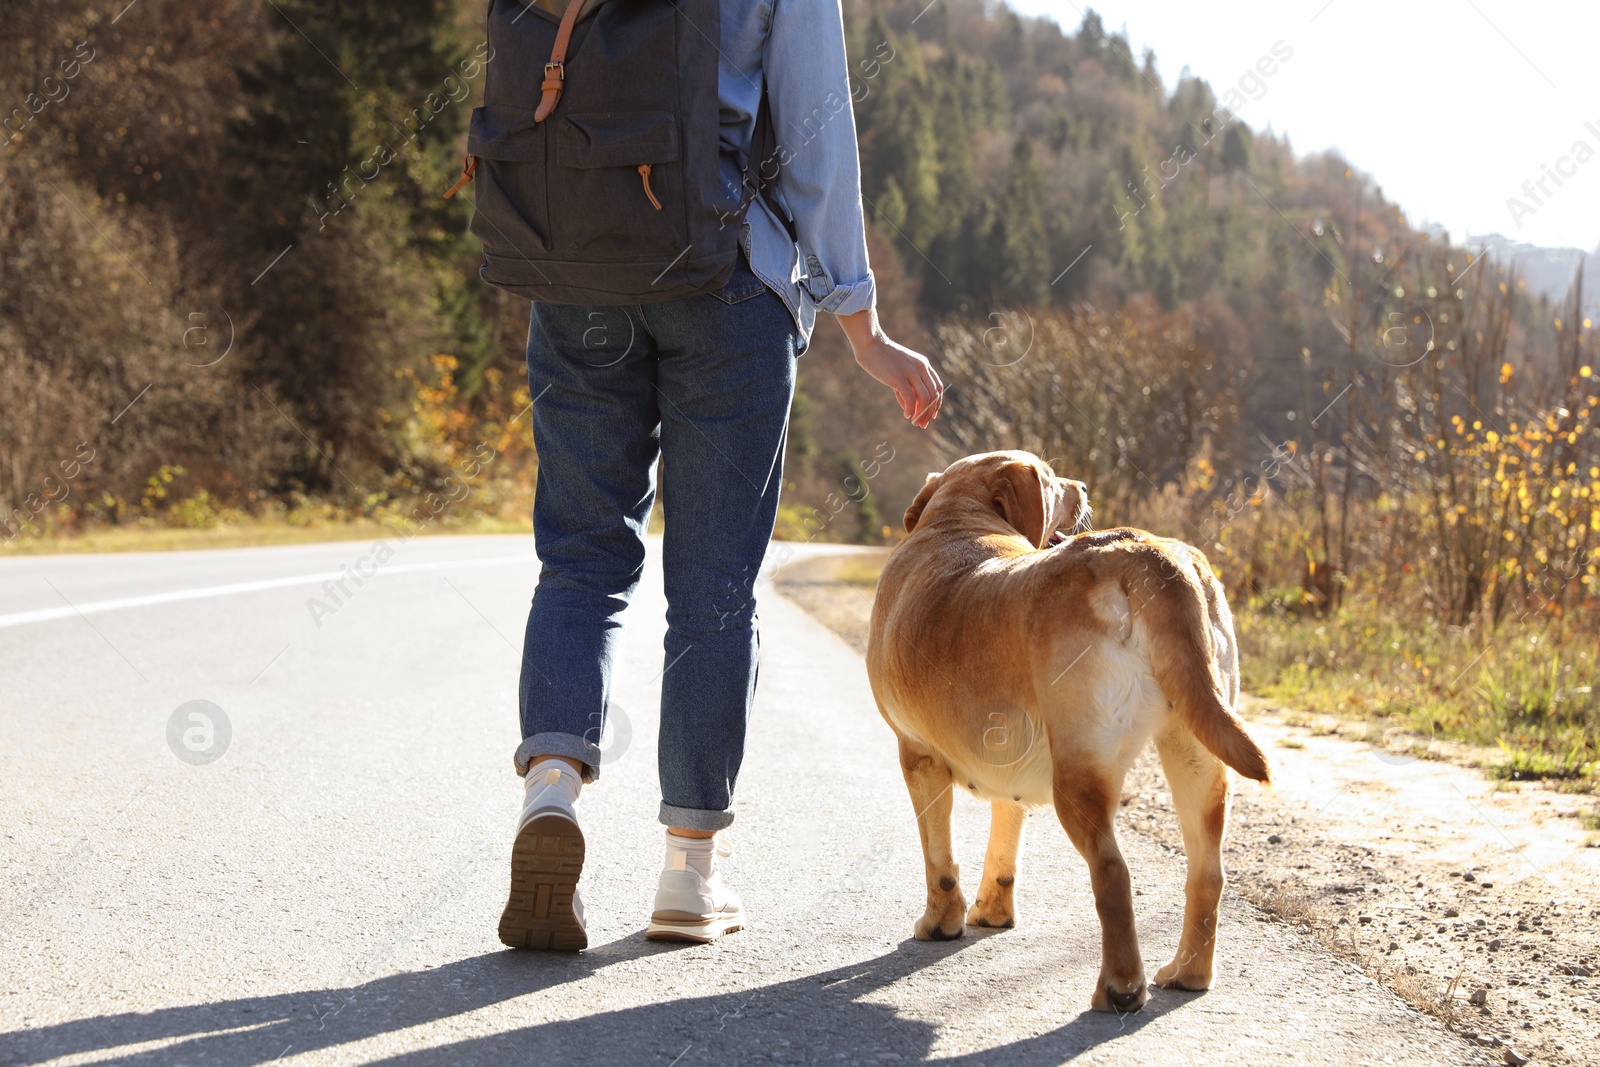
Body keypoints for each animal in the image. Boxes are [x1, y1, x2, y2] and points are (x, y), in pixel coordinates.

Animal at [870, 447, 1267, 1011]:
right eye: (1055, 480)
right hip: (1197, 755)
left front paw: (940, 923)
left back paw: (1120, 988)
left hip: (1079, 775)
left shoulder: (916, 756)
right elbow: (1004, 839)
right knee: (1207, 873)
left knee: (1113, 872)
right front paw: (993, 910)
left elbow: (939, 860)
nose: (1081, 485)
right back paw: (1187, 973)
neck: (959, 519)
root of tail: (1148, 553)